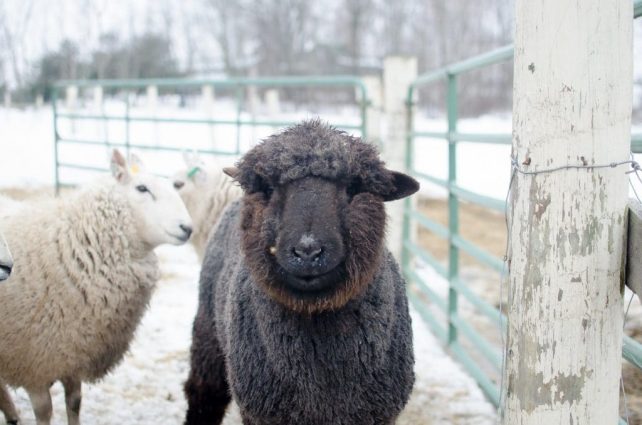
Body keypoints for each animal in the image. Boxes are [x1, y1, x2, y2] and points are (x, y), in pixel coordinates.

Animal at [0, 149, 193, 425]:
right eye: (142, 188)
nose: (187, 228)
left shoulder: (73, 353)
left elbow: (74, 403)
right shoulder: (33, 362)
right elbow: (45, 411)